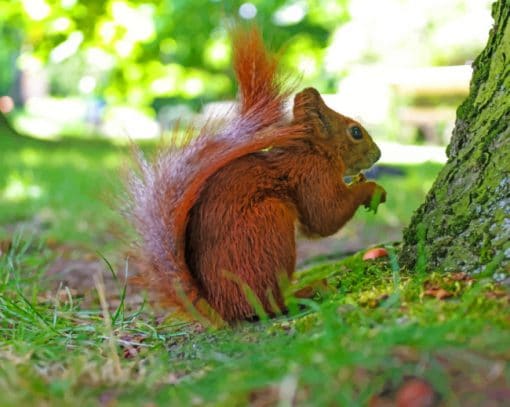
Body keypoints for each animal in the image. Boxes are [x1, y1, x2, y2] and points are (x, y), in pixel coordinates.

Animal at [125, 26, 384, 326]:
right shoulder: (312, 175)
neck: (312, 151)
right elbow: (324, 217)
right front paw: (372, 190)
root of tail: (221, 308)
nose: (378, 154)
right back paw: (305, 292)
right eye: (355, 132)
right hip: (269, 223)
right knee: (265, 304)